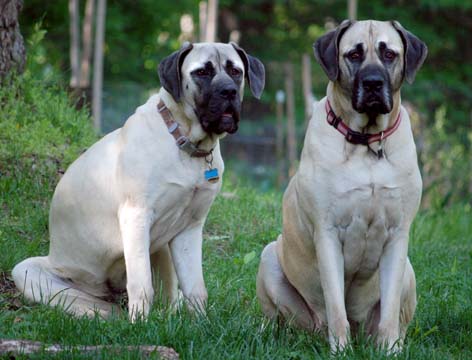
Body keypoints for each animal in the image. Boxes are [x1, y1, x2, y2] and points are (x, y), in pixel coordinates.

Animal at [12, 42, 266, 320]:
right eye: (202, 72)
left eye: (235, 71)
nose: (228, 91)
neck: (185, 142)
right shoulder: (136, 215)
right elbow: (142, 283)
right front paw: (140, 324)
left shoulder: (189, 227)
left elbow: (196, 287)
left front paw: (201, 322)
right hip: (27, 271)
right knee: (93, 306)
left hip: (163, 250)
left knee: (169, 297)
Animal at [258, 19, 428, 352]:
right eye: (354, 54)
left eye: (389, 54)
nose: (373, 83)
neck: (367, 142)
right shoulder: (327, 233)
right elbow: (336, 306)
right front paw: (341, 349)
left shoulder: (398, 235)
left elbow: (390, 310)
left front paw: (389, 350)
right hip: (269, 257)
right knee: (279, 319)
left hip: (410, 271)